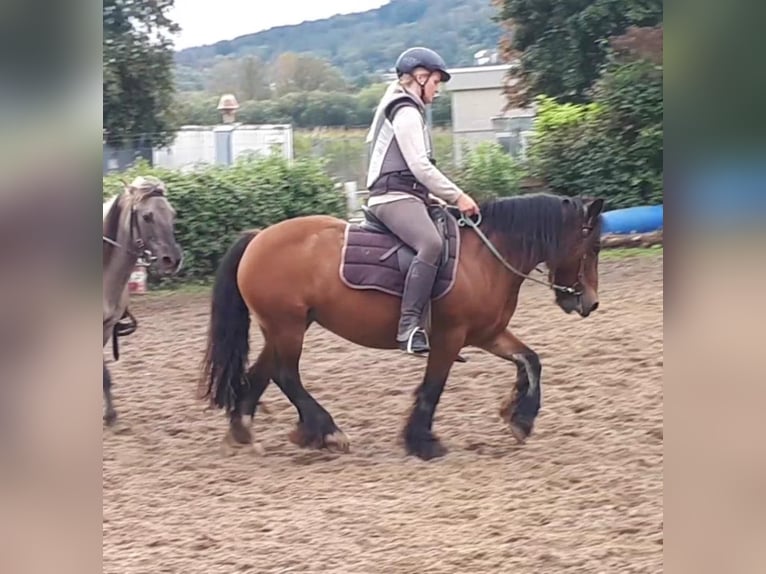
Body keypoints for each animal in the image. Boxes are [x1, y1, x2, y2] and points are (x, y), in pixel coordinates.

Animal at [200, 196, 608, 462]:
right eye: (592, 247)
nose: (590, 302)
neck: (485, 258)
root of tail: (258, 237)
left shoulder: (487, 334)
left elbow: (530, 360)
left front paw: (519, 416)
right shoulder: (449, 337)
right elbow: (433, 387)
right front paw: (422, 441)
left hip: (283, 328)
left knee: (261, 374)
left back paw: (244, 432)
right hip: (288, 328)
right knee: (286, 375)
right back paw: (326, 431)